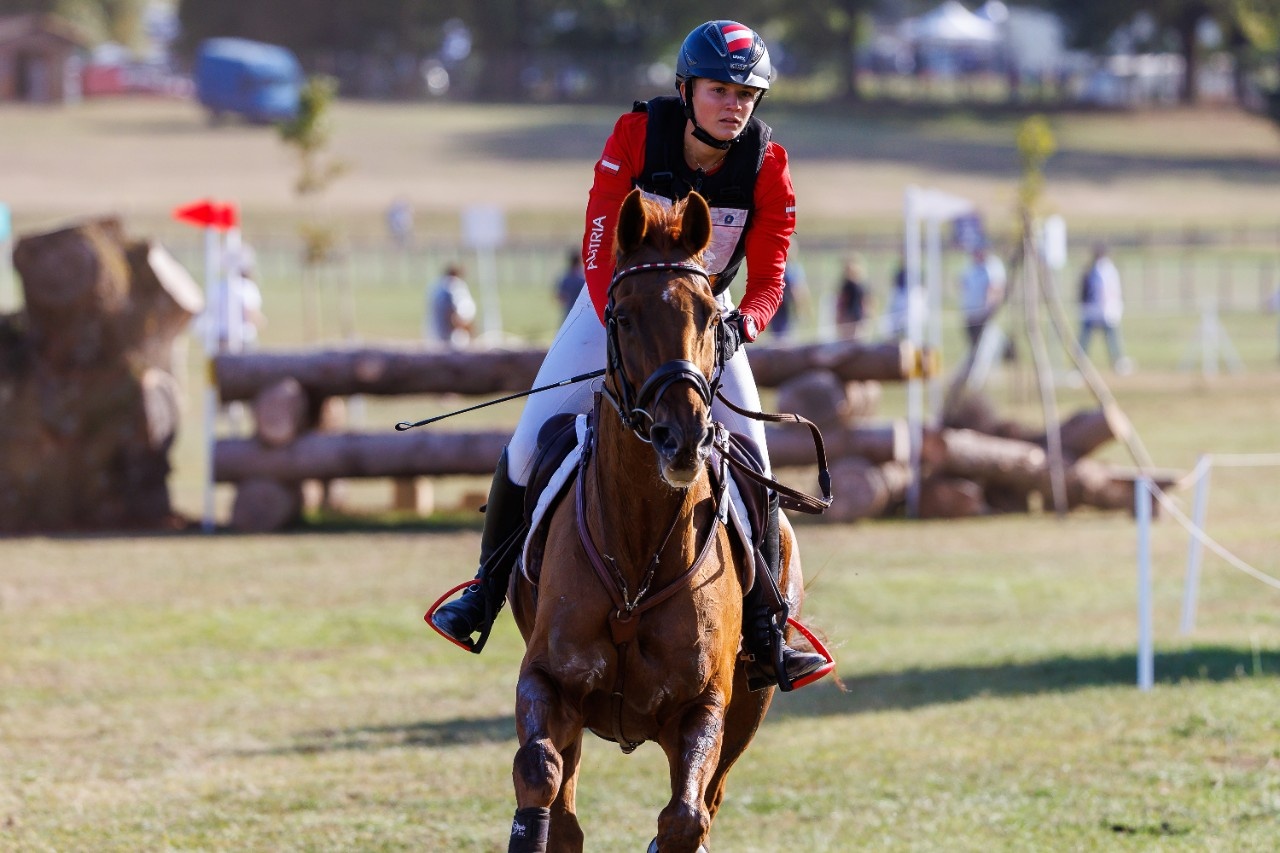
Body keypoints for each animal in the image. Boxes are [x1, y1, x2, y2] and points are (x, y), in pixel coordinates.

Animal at [504, 189, 803, 845]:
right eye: (621, 317)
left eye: (712, 318)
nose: (681, 438)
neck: (636, 560)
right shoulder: (547, 681)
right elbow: (538, 772)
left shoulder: (705, 707)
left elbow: (685, 818)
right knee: (565, 806)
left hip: (751, 704)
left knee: (708, 802)